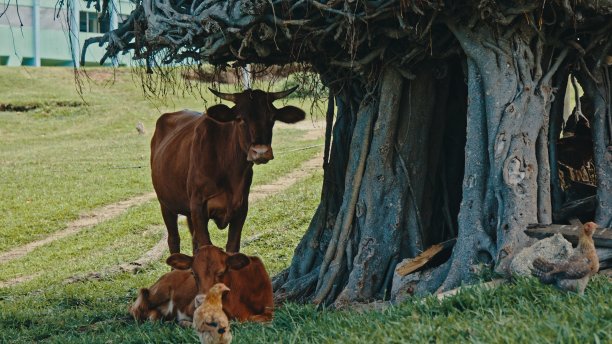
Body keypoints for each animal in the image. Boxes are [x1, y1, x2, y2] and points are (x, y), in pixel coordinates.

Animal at [152, 86, 304, 253]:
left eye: (272, 118)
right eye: (240, 119)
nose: (261, 152)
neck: (230, 171)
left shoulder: (241, 208)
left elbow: (232, 247)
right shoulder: (198, 208)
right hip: (165, 204)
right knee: (174, 240)